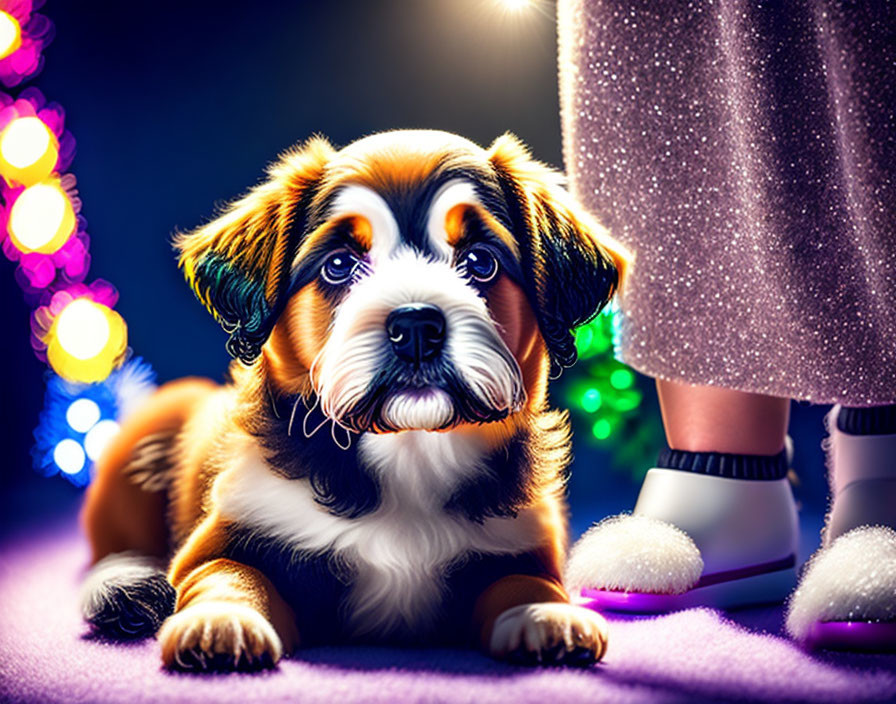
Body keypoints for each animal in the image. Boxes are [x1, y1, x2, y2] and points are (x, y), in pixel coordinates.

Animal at [79, 129, 624, 668]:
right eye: (339, 265)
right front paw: (221, 620)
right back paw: (122, 587)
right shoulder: (220, 538)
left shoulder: (524, 540)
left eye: (479, 261)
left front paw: (546, 615)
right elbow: (229, 573)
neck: (410, 452)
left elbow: (525, 581)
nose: (416, 327)